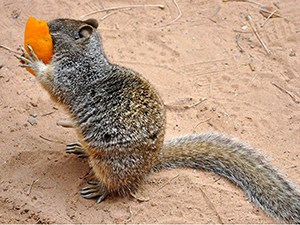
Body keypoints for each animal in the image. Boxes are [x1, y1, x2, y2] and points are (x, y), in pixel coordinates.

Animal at [16, 18, 300, 223]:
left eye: (55, 28)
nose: (46, 22)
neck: (88, 59)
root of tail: (150, 163)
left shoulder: (70, 78)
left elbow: (52, 85)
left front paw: (32, 60)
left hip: (109, 164)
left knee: (117, 184)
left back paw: (101, 188)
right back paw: (80, 149)